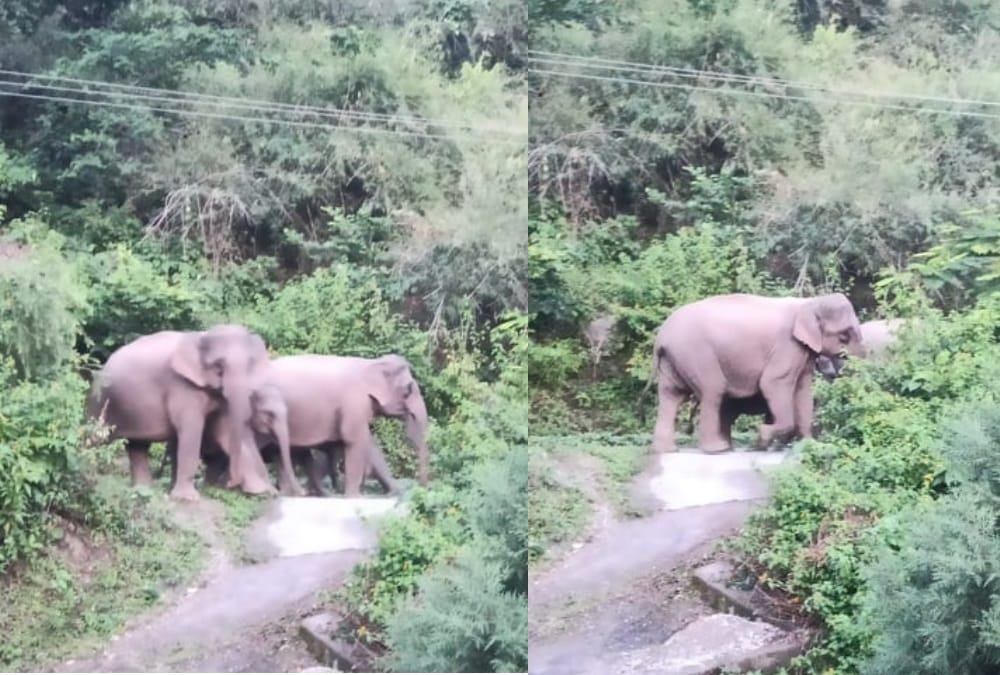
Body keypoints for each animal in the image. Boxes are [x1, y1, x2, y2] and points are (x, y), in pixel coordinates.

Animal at [87, 324, 277, 500]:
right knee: (95, 438)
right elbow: (191, 428)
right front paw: (187, 498)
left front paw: (261, 492)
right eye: (218, 366)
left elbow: (226, 430)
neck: (202, 335)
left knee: (137, 446)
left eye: (250, 365)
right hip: (99, 401)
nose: (231, 484)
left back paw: (144, 489)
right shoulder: (182, 386)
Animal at [651, 293, 865, 454]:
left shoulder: (802, 352)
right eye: (844, 335)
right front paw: (761, 438)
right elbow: (773, 382)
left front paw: (808, 445)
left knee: (672, 395)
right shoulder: (787, 345)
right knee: (713, 390)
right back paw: (718, 450)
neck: (810, 302)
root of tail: (662, 337)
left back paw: (668, 450)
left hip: (674, 359)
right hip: (695, 353)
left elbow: (803, 390)